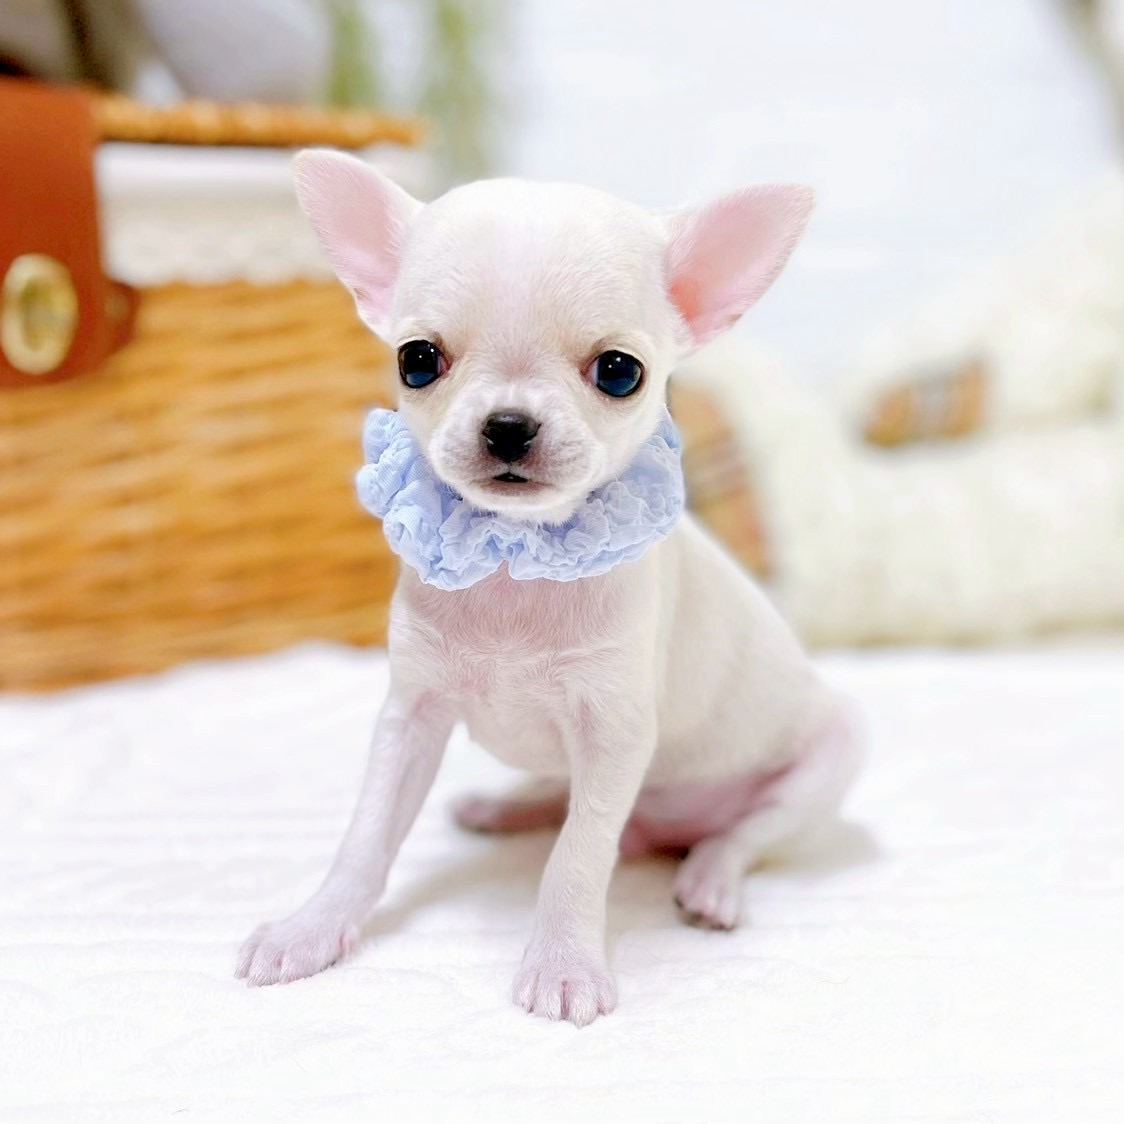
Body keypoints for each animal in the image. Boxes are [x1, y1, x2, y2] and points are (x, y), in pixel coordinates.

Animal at [236, 151, 861, 1026]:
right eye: (416, 360)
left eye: (621, 373)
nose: (507, 423)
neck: (516, 556)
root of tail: (663, 833)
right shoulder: (411, 717)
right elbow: (366, 835)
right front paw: (315, 925)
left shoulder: (613, 737)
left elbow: (577, 856)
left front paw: (563, 965)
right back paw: (504, 806)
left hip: (825, 764)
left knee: (740, 836)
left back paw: (708, 880)